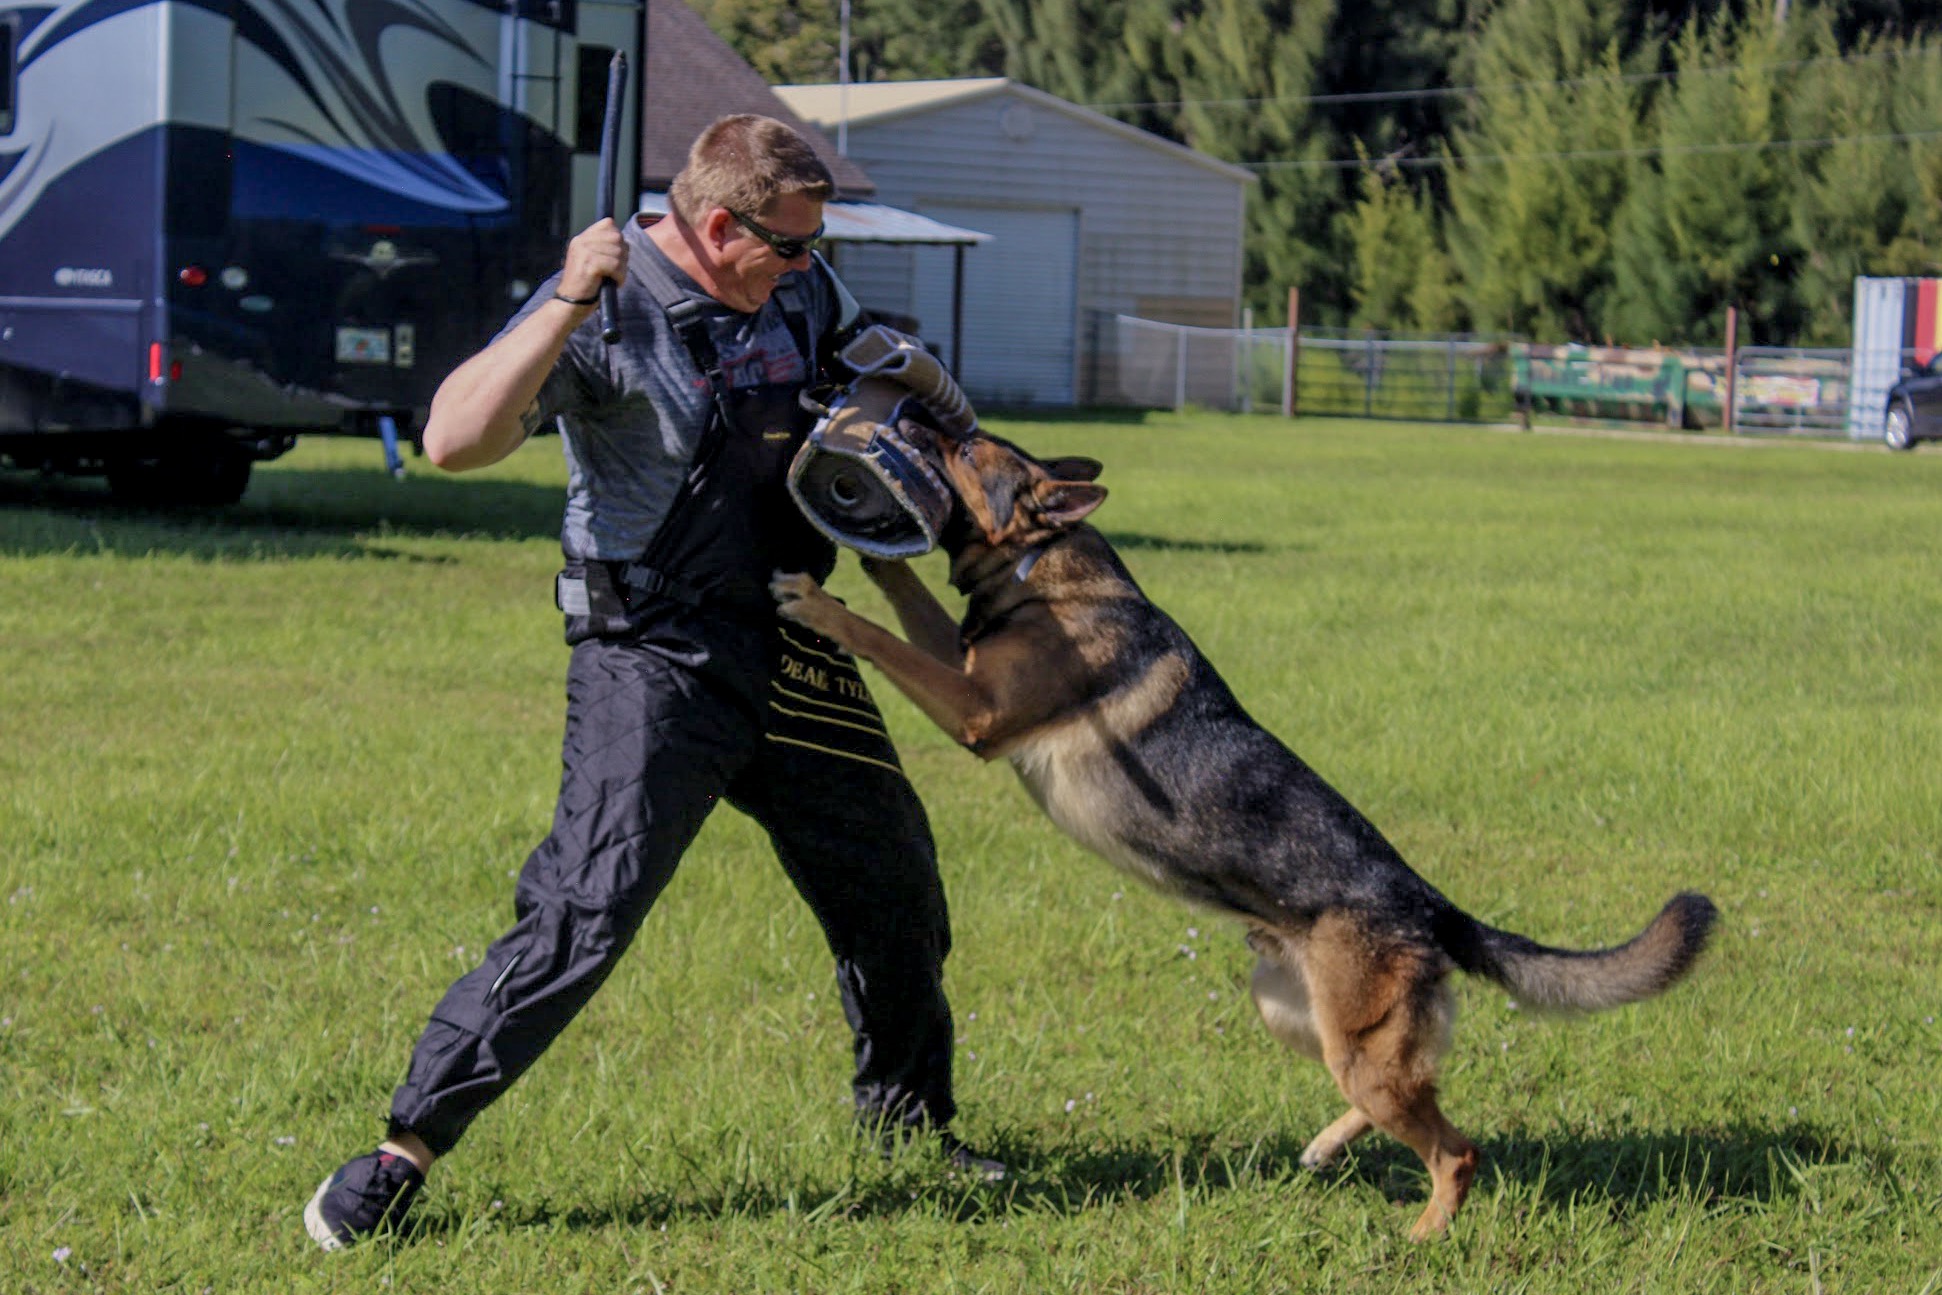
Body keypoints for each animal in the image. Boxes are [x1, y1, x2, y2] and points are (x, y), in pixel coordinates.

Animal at [769, 421, 1716, 1242]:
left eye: (966, 447)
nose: (909, 415)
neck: (1045, 567)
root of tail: (1428, 903)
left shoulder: (975, 710)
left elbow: (884, 636)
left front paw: (815, 601)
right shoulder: (968, 675)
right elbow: (910, 605)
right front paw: (869, 563)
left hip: (1355, 1046)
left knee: (1457, 1149)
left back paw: (1423, 1235)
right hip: (1299, 1015)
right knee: (1411, 1097)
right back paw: (1329, 1145)